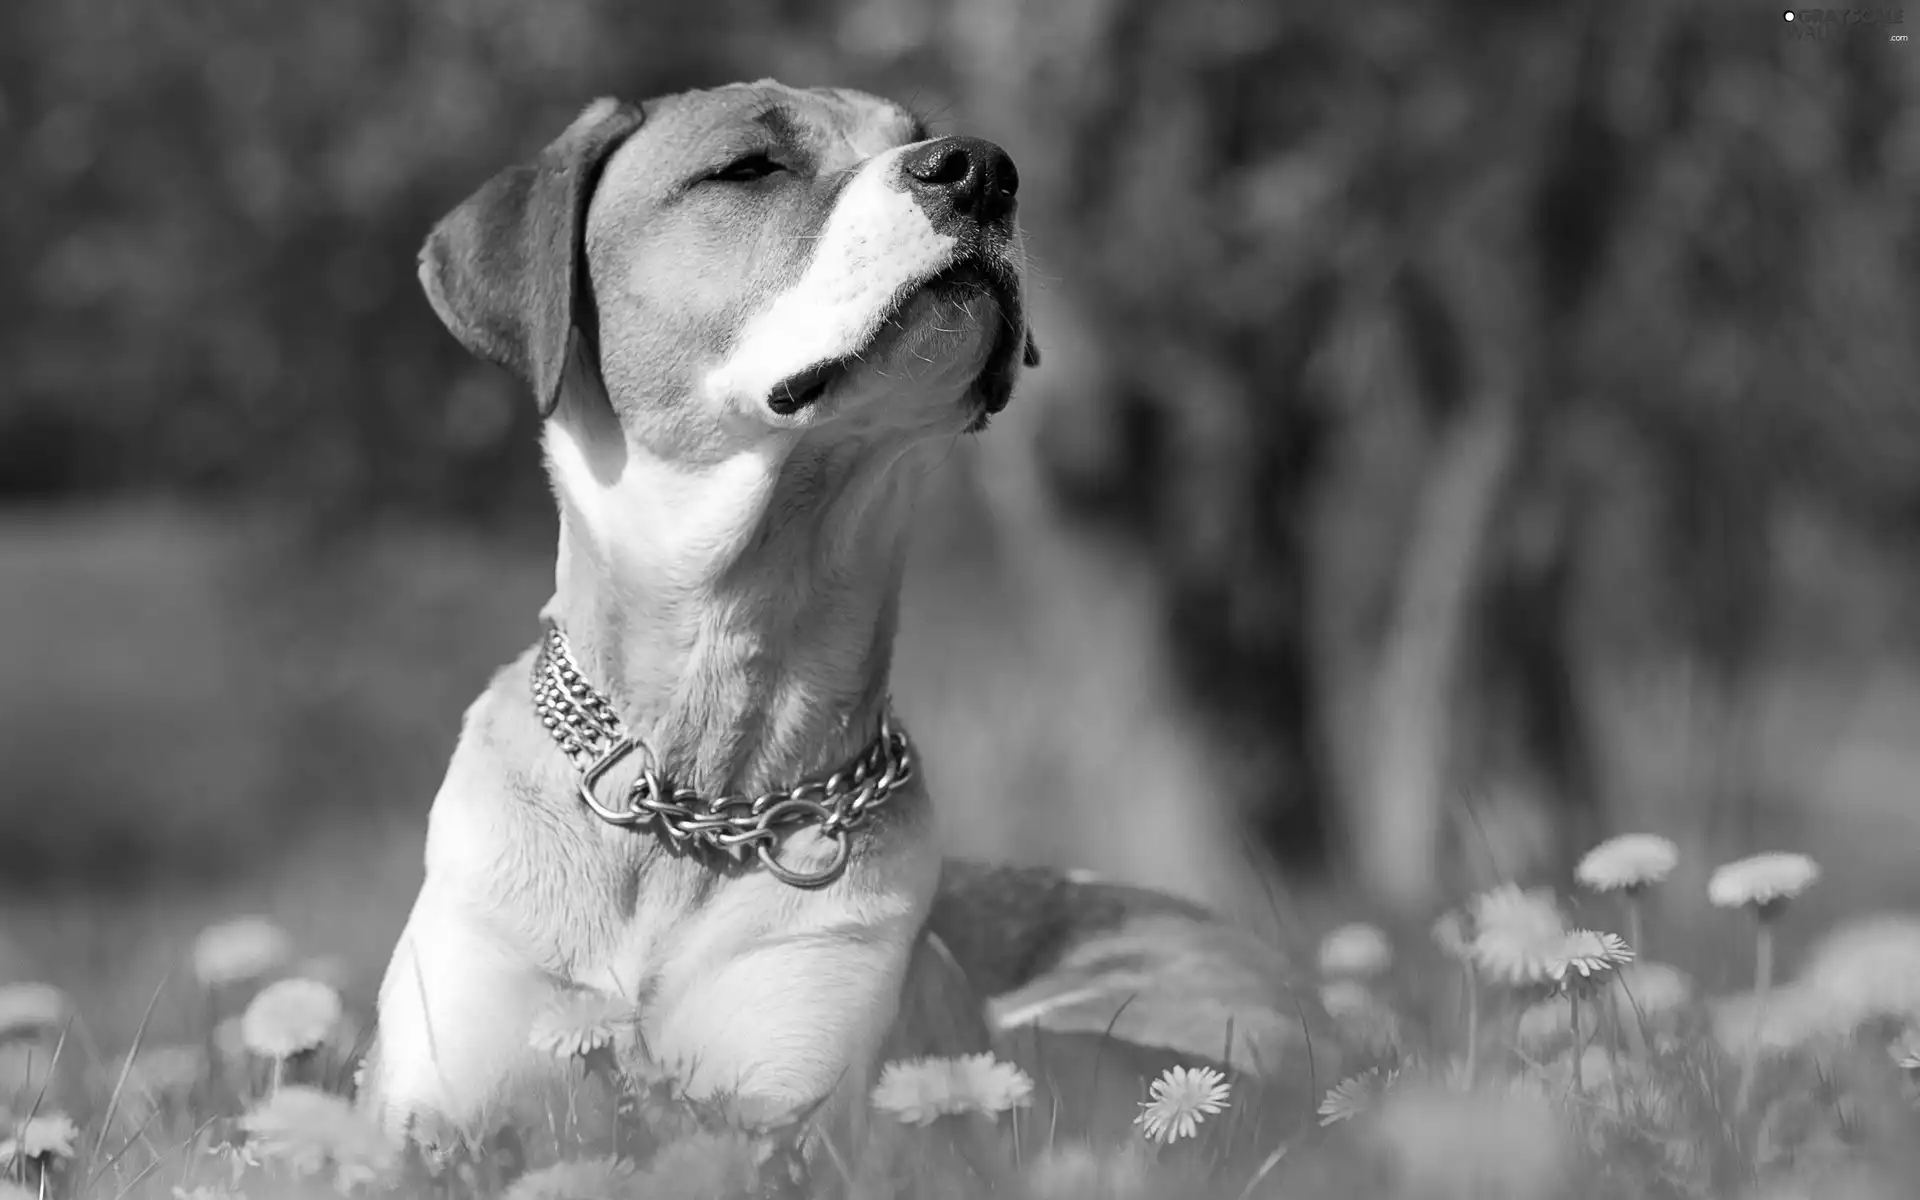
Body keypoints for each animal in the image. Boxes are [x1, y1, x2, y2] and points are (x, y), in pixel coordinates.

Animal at [360, 79, 1320, 1167]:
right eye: (747, 168)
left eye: (918, 137)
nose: (983, 169)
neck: (698, 786)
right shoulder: (420, 1115)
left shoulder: (790, 1116)